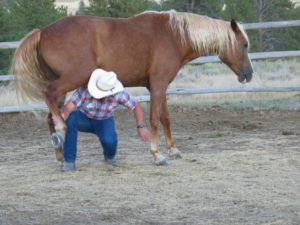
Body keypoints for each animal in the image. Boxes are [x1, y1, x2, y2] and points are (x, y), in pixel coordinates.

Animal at [11, 10, 253, 165]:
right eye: (244, 44)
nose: (249, 75)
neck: (173, 36)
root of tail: (42, 31)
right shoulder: (157, 84)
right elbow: (154, 119)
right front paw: (157, 154)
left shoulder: (159, 86)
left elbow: (165, 118)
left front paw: (174, 150)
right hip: (71, 78)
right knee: (49, 95)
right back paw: (62, 131)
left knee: (50, 115)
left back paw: (60, 155)